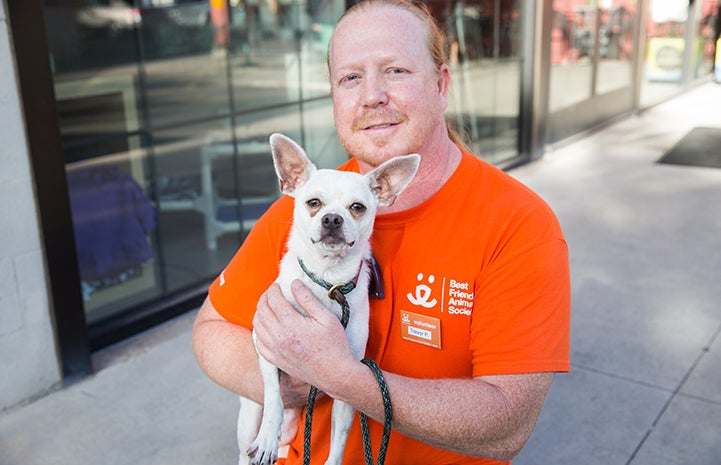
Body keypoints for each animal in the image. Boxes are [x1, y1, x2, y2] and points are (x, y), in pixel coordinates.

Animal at [238, 133, 416, 464]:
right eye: (313, 203)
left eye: (357, 207)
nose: (332, 218)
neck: (327, 278)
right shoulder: (266, 344)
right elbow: (274, 395)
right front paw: (267, 437)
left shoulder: (347, 381)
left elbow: (339, 438)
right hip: (248, 415)